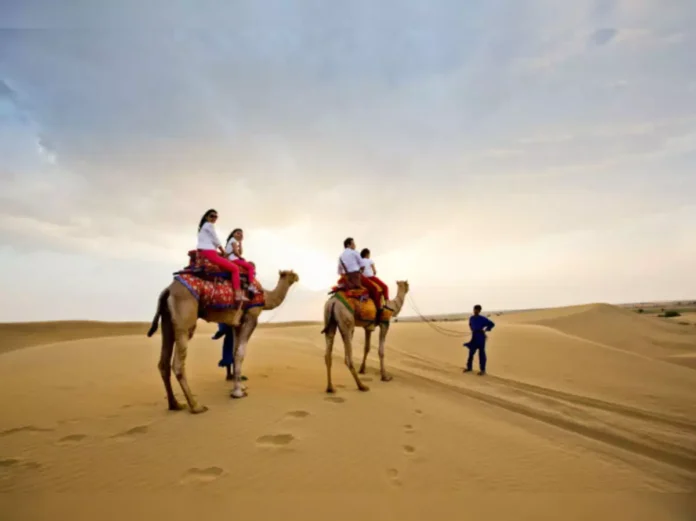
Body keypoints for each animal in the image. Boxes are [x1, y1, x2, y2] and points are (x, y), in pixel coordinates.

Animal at [147, 250, 300, 412]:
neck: (265, 296)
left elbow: (234, 351)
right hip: (185, 318)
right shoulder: (251, 317)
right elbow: (240, 353)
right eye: (291, 274)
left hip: (167, 320)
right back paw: (195, 406)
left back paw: (175, 404)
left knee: (163, 363)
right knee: (178, 363)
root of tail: (168, 290)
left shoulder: (236, 323)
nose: (298, 277)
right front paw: (238, 392)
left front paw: (240, 387)